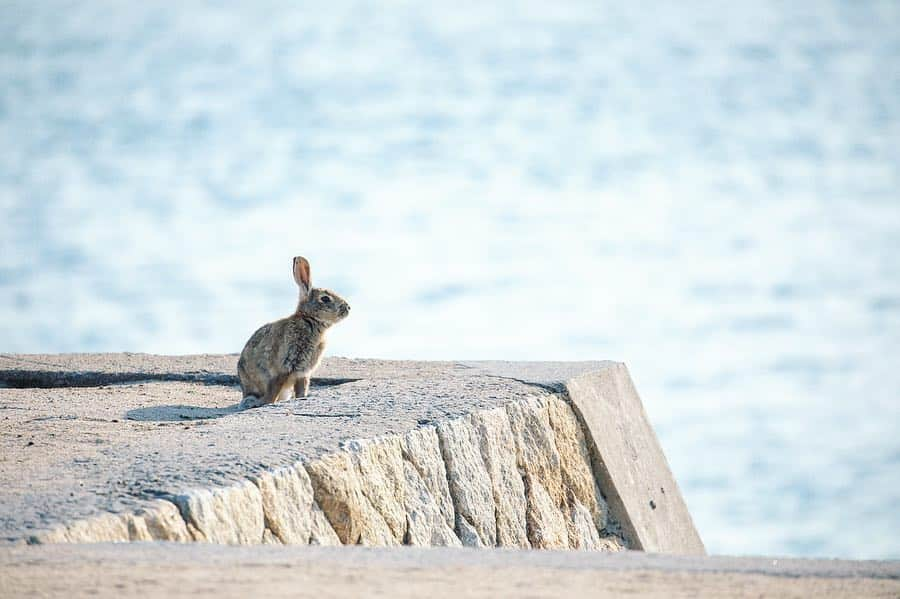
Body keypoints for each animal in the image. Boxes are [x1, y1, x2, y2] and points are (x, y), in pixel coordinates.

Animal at [237, 255, 350, 410]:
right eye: (325, 298)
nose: (348, 308)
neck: (309, 320)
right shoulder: (284, 367)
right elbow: (274, 389)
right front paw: (266, 403)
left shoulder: (302, 373)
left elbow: (302, 388)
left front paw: (303, 397)